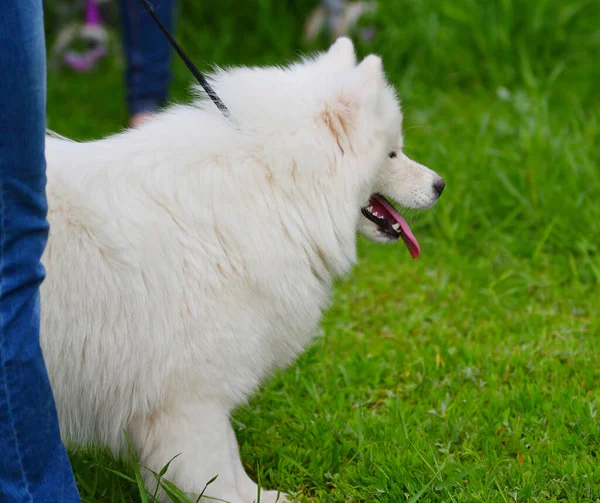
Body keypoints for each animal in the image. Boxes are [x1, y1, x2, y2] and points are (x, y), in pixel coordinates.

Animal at [42, 37, 442, 502]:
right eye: (392, 153)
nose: (440, 184)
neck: (273, 185)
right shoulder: (189, 399)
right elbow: (214, 470)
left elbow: (230, 462)